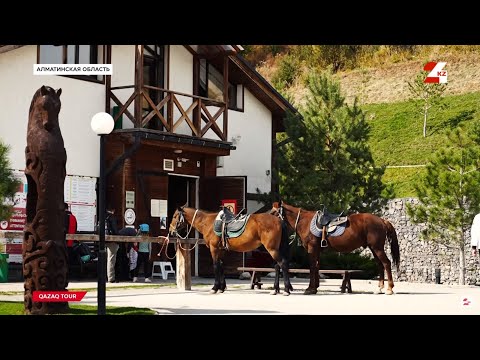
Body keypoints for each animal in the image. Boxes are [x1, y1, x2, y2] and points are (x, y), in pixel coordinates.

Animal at [270, 200, 402, 296]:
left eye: (273, 212)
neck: (305, 222)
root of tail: (382, 220)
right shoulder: (317, 250)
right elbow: (316, 266)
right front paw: (315, 288)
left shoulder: (312, 248)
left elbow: (312, 267)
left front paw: (310, 289)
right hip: (374, 248)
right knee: (380, 265)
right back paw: (380, 288)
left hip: (377, 248)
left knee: (386, 263)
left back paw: (389, 289)